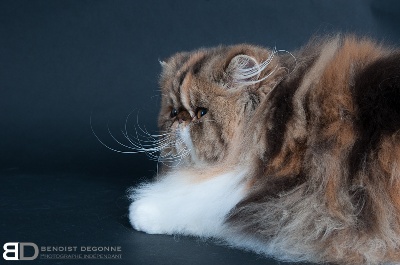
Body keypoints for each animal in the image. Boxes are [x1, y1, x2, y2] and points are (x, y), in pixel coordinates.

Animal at [125, 35, 400, 264]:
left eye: (201, 112)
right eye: (173, 112)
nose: (181, 120)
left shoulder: (260, 201)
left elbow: (193, 207)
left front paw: (140, 212)